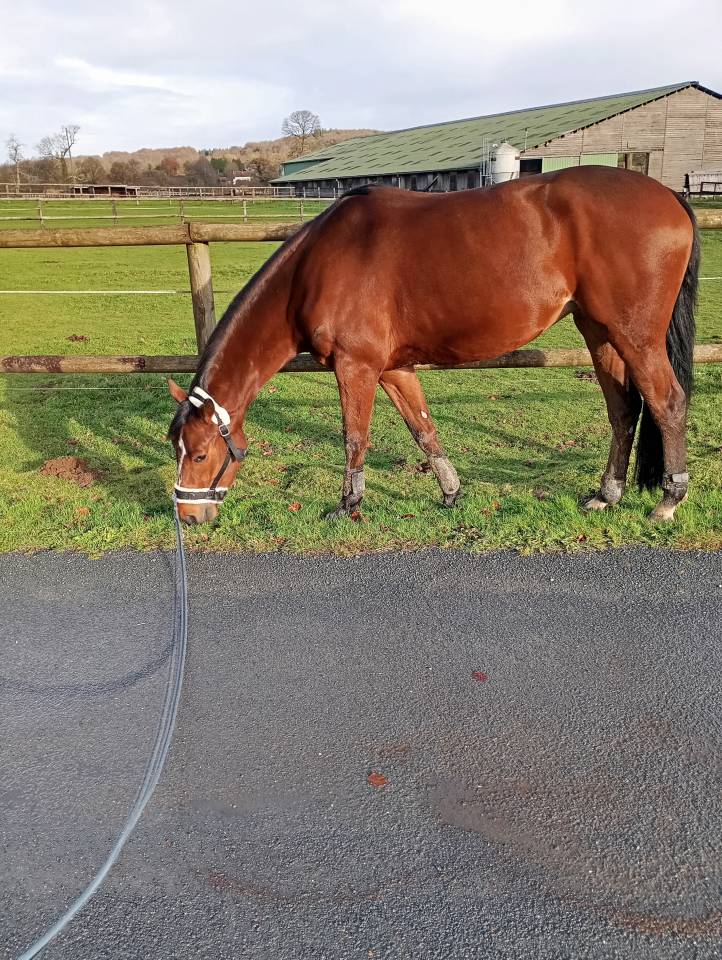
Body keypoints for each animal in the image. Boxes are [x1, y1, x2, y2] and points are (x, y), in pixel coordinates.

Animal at [168, 165, 698, 526]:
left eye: (199, 455)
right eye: (176, 448)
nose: (188, 517)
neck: (316, 267)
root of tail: (669, 196)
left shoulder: (355, 366)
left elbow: (355, 437)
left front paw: (347, 504)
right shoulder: (392, 368)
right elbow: (423, 428)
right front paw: (451, 492)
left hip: (636, 336)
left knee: (667, 402)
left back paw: (669, 500)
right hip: (598, 332)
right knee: (623, 410)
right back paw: (607, 494)